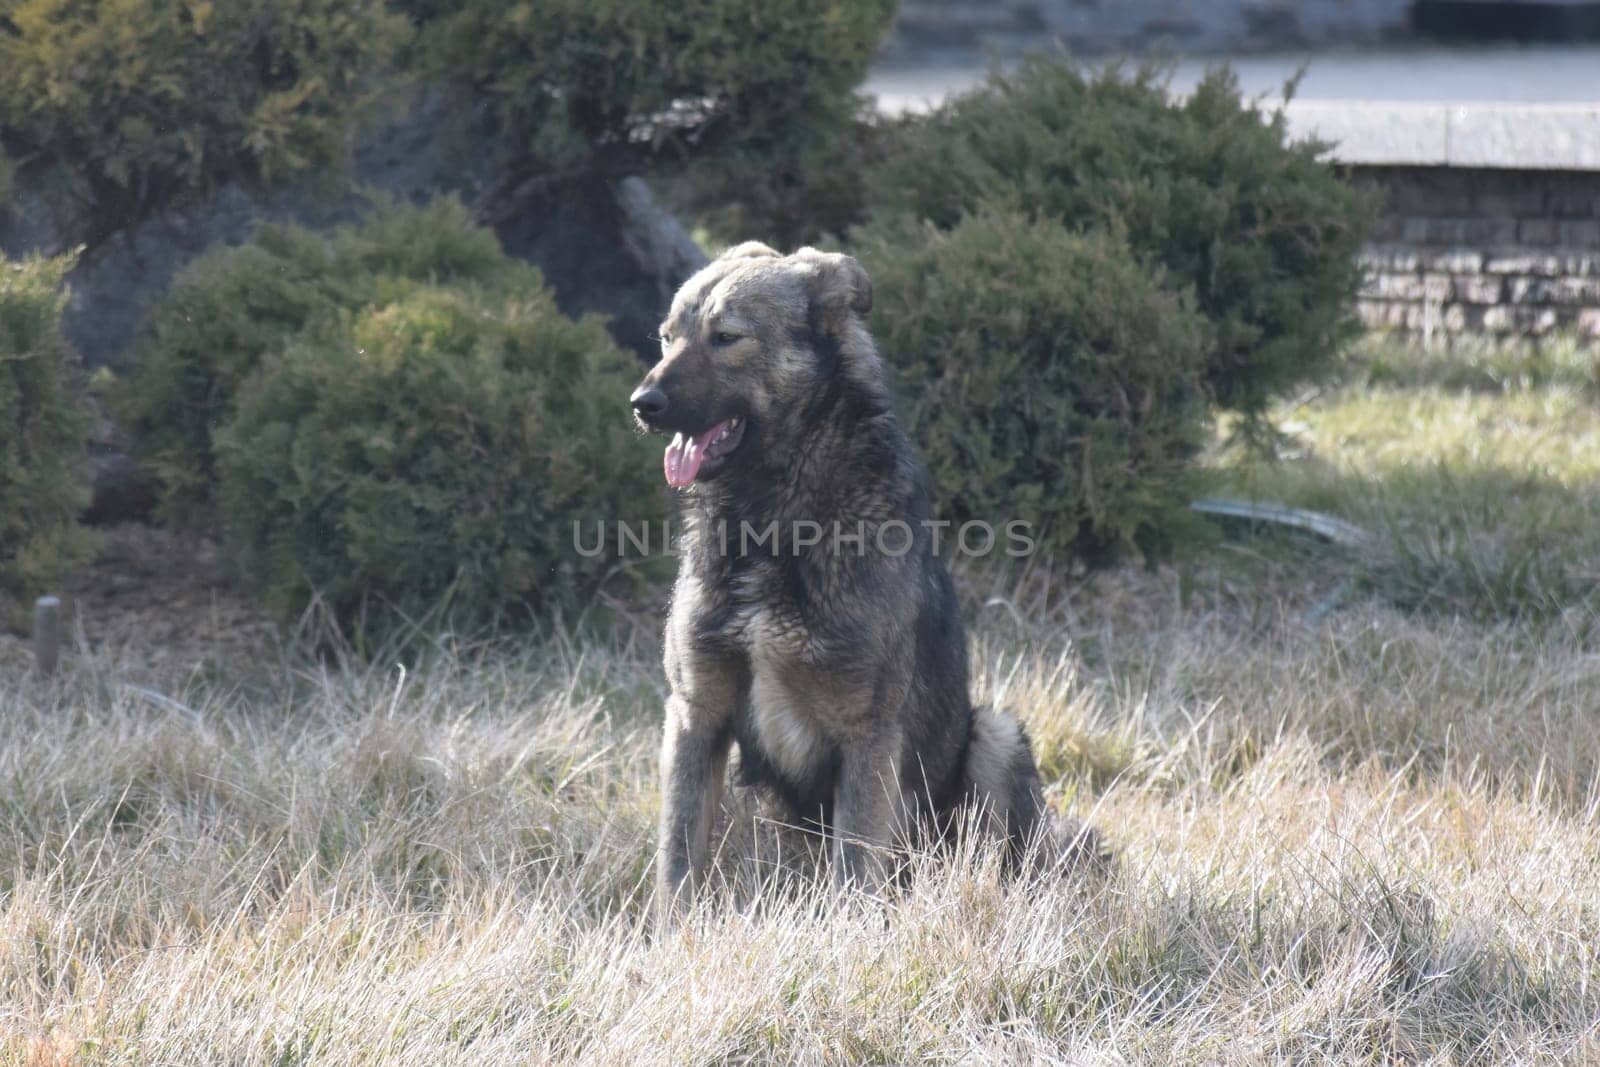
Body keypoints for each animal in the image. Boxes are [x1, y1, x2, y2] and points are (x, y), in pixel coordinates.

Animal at [630, 241, 1081, 921]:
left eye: (726, 336)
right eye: (665, 337)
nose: (642, 403)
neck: (773, 521)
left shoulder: (867, 733)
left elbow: (854, 871)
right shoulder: (696, 713)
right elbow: (677, 858)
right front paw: (672, 934)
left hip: (994, 737)